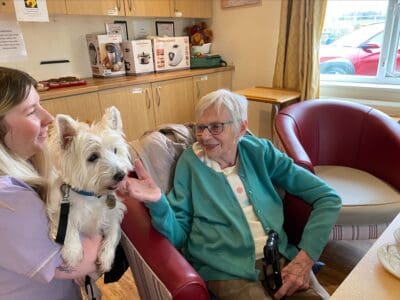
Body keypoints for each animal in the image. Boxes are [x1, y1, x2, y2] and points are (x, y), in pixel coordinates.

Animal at [47, 106, 131, 274]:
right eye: (92, 157)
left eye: (115, 150)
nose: (121, 175)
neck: (93, 196)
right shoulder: (60, 207)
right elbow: (67, 226)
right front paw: (73, 253)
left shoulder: (113, 213)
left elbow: (113, 231)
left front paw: (106, 259)